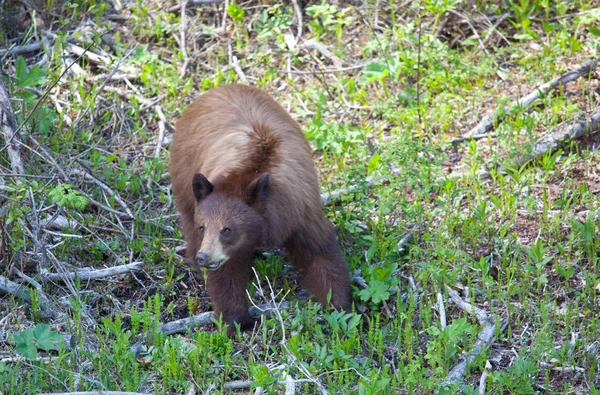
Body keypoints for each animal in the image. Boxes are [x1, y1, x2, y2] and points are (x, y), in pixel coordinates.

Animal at [169, 83, 352, 338]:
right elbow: (227, 274)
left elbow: (319, 253)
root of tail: (221, 87)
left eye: (227, 229)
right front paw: (237, 321)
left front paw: (340, 309)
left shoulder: (300, 211)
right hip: (185, 179)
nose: (204, 257)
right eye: (203, 227)